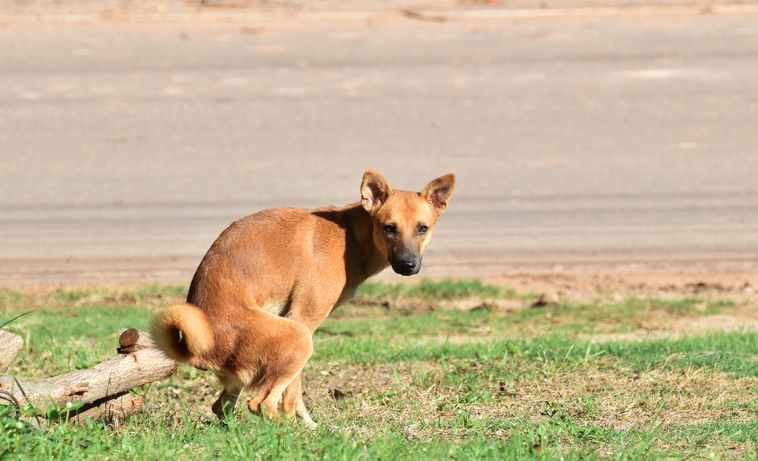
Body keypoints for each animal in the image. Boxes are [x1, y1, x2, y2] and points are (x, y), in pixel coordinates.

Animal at [151, 171, 454, 426]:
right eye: (389, 228)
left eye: (423, 228)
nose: (408, 265)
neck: (350, 236)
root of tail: (202, 349)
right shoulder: (302, 319)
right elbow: (292, 393)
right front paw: (301, 425)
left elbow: (294, 394)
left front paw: (306, 423)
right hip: (298, 338)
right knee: (260, 404)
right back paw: (288, 430)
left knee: (222, 408)